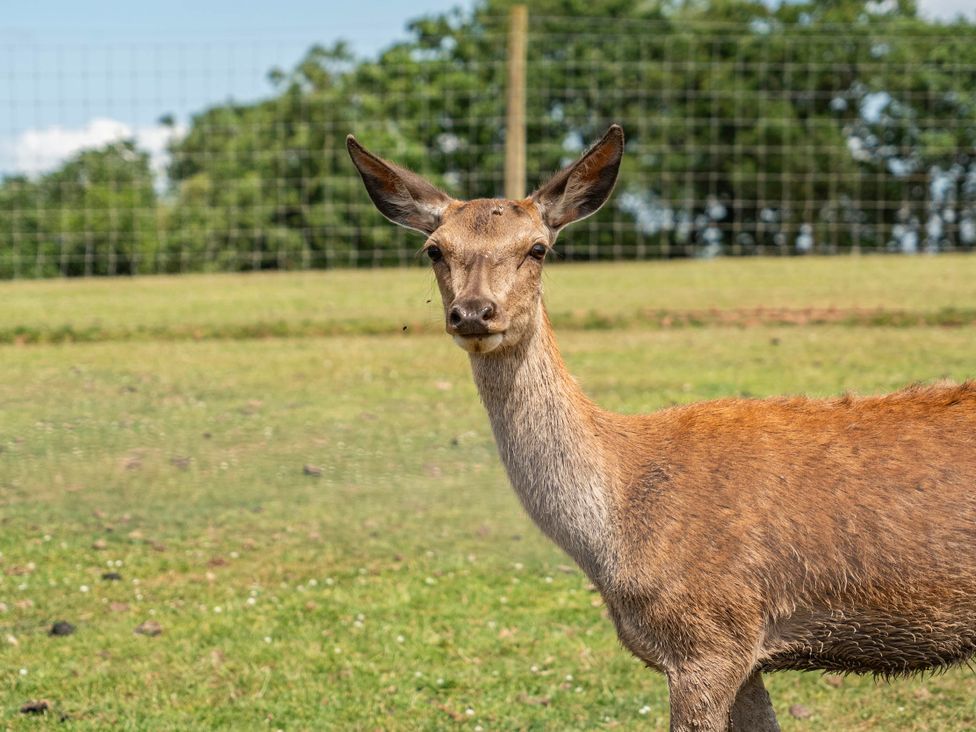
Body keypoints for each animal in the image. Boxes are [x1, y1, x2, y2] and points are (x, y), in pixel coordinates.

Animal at [346, 125, 976, 731]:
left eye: (537, 248)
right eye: (435, 249)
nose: (474, 312)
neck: (615, 532)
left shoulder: (709, 636)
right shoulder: (744, 654)